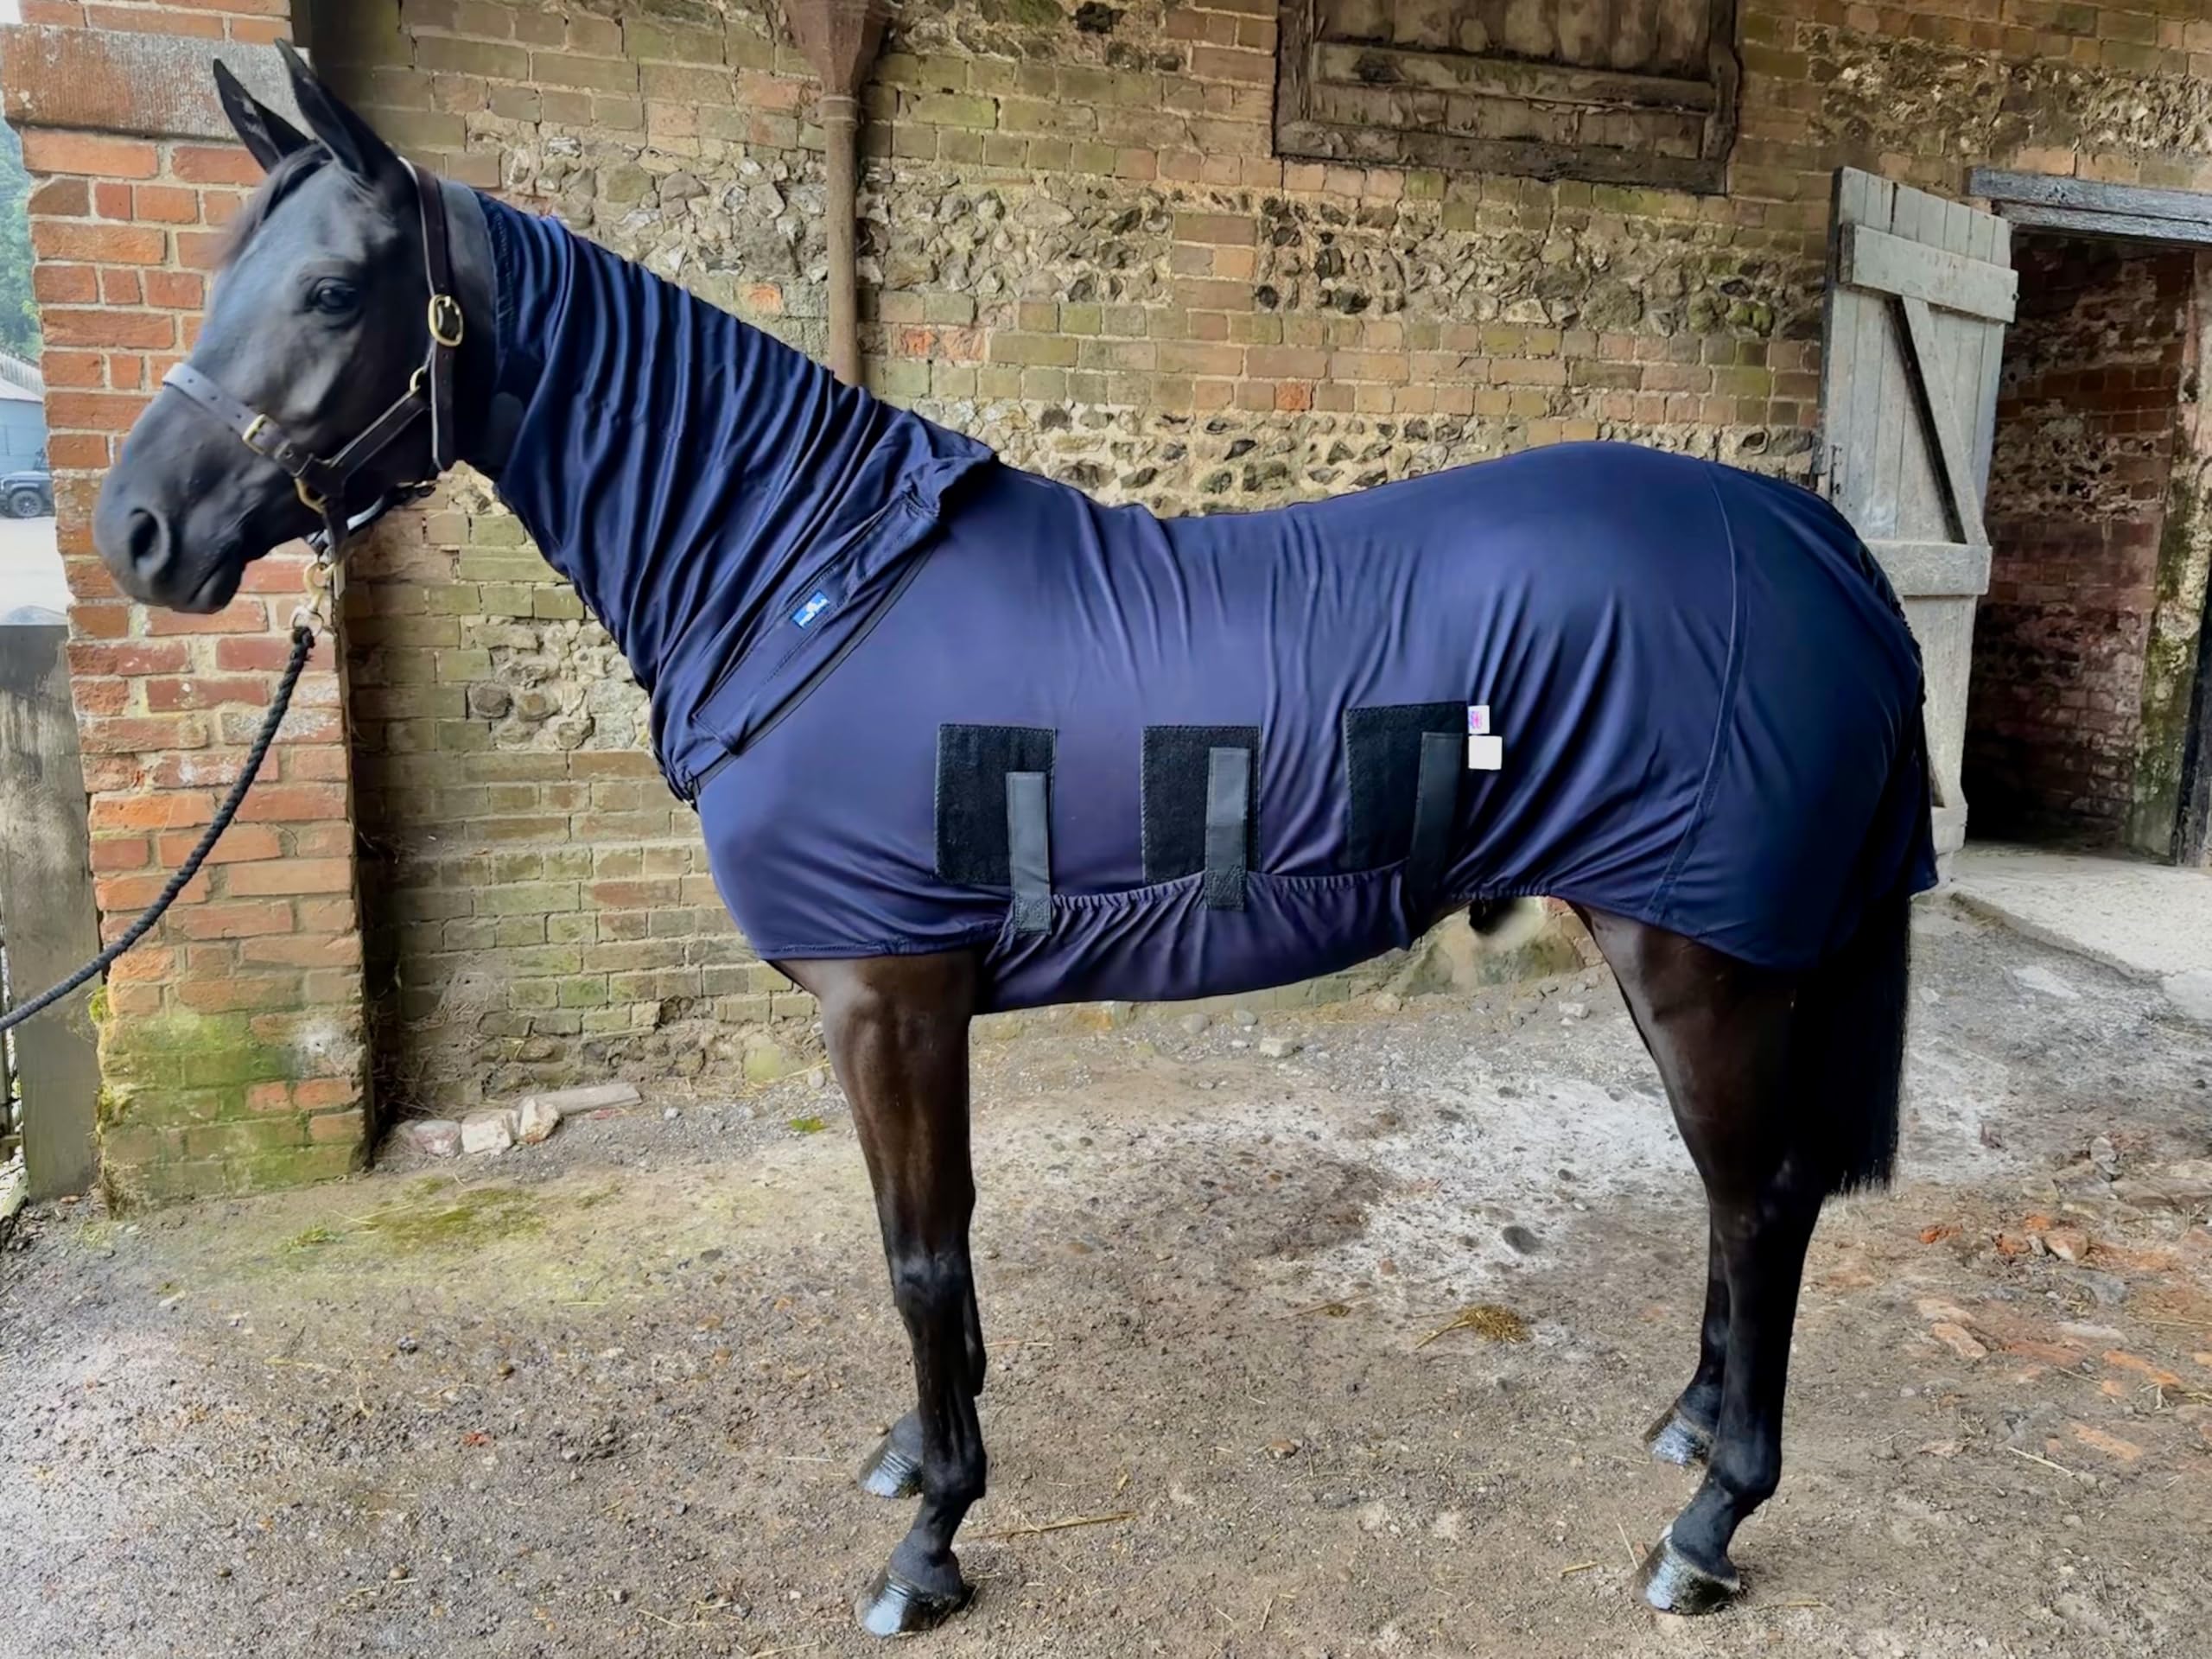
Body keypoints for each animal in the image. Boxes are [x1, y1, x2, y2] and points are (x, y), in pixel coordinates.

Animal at [94, 46, 1933, 1637]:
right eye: (224, 278)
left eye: (334, 293)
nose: (136, 532)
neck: (806, 579)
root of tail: (1816, 537)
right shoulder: (913, 1005)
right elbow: (941, 1253)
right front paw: (924, 1457)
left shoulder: (887, 996)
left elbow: (917, 1257)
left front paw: (931, 1543)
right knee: (1731, 1197)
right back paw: (1687, 1425)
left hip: (1696, 951)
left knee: (1761, 1201)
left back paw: (1707, 1523)